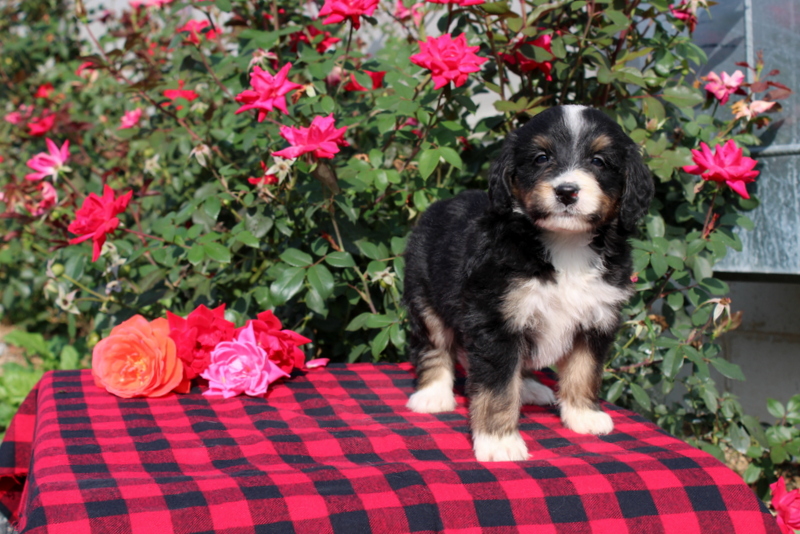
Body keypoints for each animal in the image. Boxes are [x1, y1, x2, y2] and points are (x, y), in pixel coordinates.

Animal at [404, 105, 652, 464]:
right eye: (541, 157)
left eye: (599, 161)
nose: (566, 191)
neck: (565, 244)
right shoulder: (497, 320)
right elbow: (497, 387)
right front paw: (499, 441)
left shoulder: (596, 317)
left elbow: (584, 371)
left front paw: (583, 416)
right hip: (424, 293)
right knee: (434, 343)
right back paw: (432, 394)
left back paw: (530, 388)